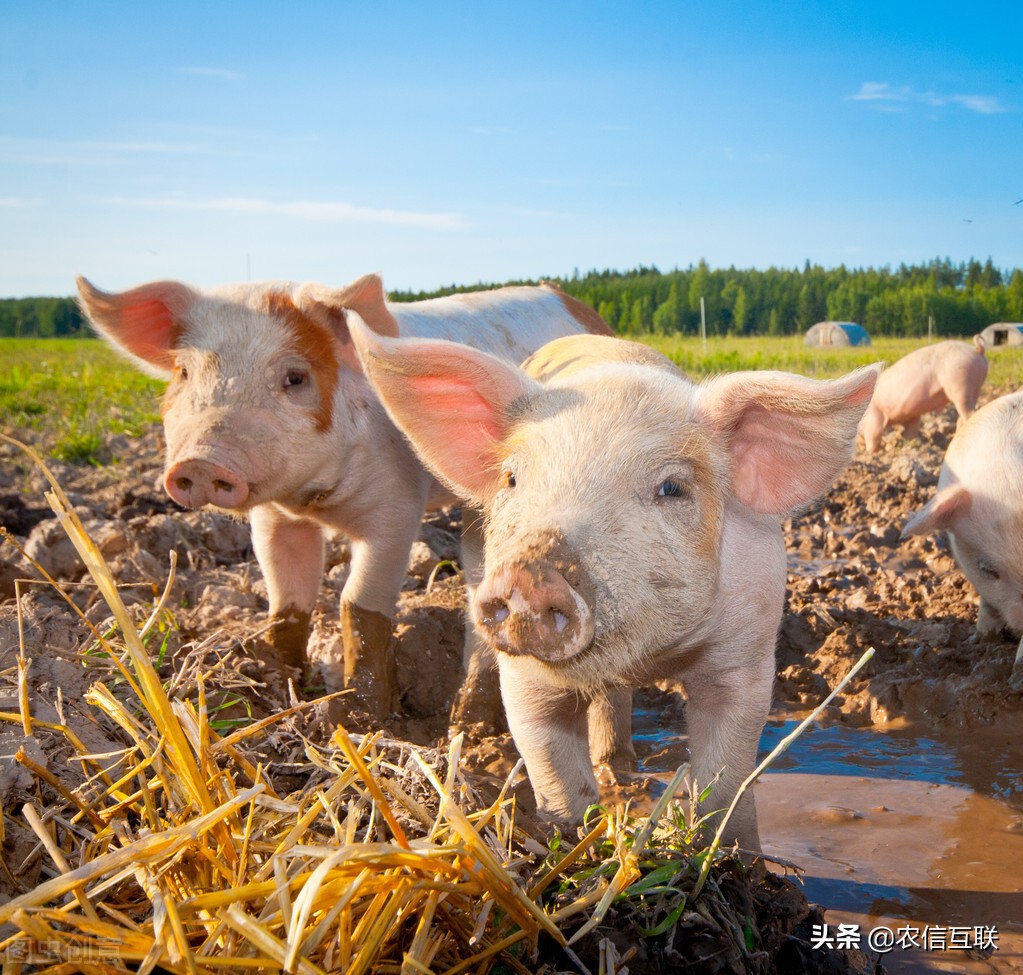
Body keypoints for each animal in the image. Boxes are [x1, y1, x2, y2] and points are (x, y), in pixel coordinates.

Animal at [77, 270, 613, 712]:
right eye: (185, 373)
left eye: (295, 377)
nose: (202, 462)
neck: (317, 502)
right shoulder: (274, 519)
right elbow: (286, 600)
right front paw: (283, 683)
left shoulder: (398, 508)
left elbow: (359, 604)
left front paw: (361, 716)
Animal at [351, 321, 879, 851]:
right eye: (512, 478)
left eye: (672, 488)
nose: (530, 574)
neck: (650, 656)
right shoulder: (525, 678)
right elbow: (551, 764)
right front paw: (574, 835)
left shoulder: (746, 651)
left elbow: (727, 778)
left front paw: (738, 856)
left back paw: (621, 766)